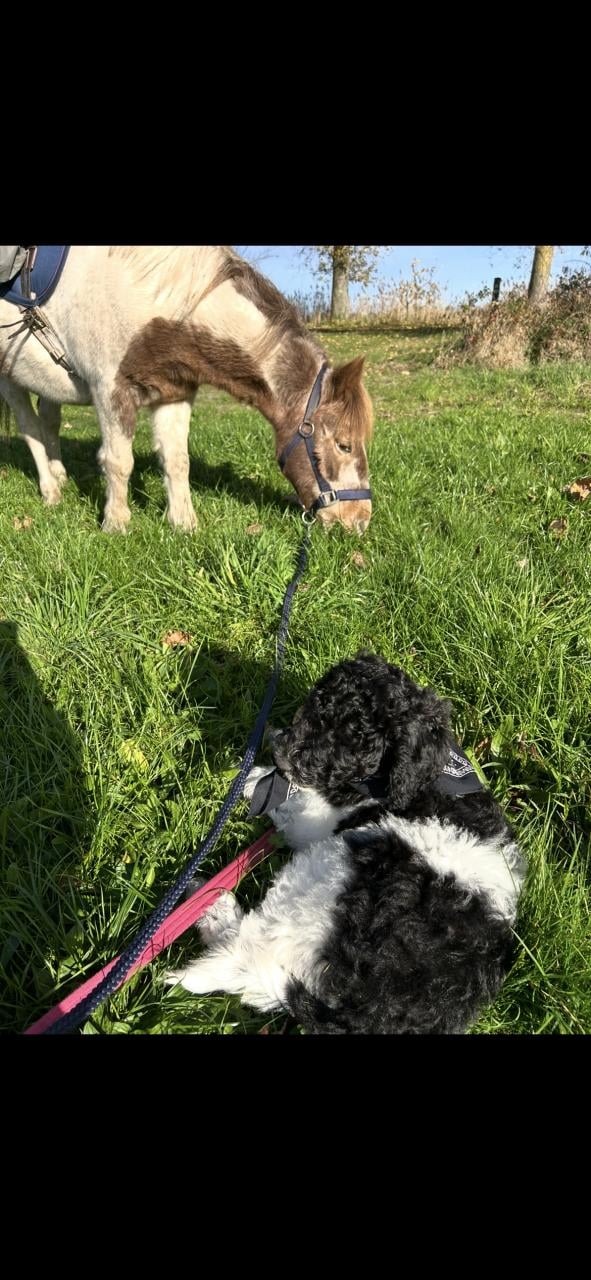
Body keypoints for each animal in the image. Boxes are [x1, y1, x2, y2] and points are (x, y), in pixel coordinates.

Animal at [0, 247, 373, 534]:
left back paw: (60, 477)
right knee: (31, 429)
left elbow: (177, 461)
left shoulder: (174, 395)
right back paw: (50, 492)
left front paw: (184, 524)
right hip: (10, 379)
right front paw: (116, 525)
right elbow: (118, 461)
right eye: (344, 444)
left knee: (49, 423)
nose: (360, 521)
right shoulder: (110, 392)